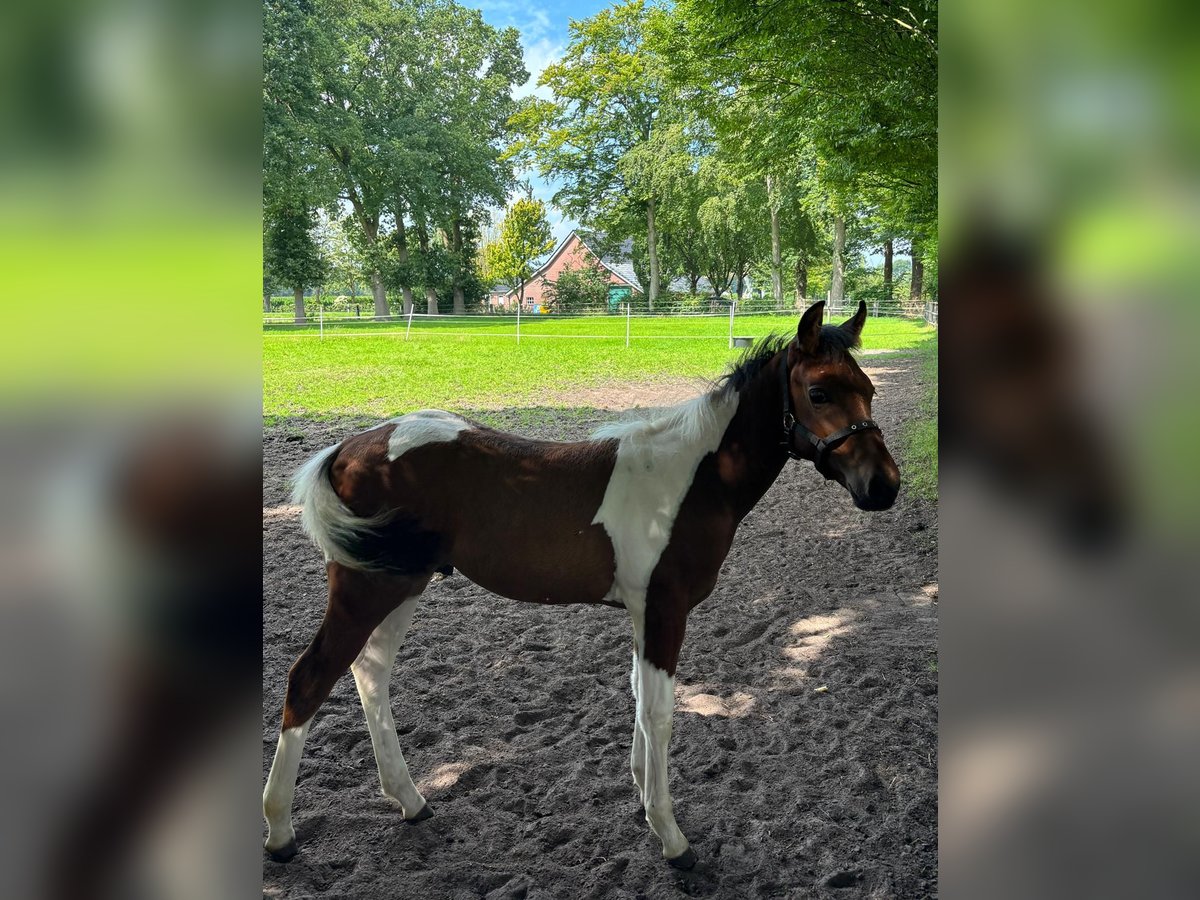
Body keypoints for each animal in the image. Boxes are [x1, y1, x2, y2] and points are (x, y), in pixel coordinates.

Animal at [263, 300, 901, 869]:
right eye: (819, 393)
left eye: (869, 388)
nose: (884, 485)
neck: (693, 479)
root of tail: (346, 448)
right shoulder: (665, 608)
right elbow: (660, 712)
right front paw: (672, 839)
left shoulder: (644, 611)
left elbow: (640, 699)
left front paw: (644, 801)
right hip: (365, 588)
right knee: (310, 679)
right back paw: (280, 833)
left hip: (402, 584)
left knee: (370, 673)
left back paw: (411, 801)